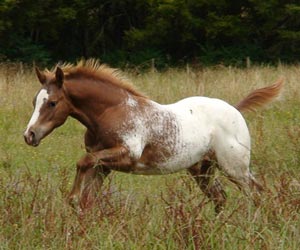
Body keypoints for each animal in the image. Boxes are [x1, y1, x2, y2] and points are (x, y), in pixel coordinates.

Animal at [24, 59, 284, 213]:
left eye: (52, 103)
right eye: (35, 101)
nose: (29, 135)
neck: (111, 111)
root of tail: (235, 109)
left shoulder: (126, 155)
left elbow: (82, 162)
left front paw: (72, 197)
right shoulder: (103, 165)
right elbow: (89, 196)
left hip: (234, 167)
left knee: (257, 192)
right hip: (202, 170)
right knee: (220, 198)